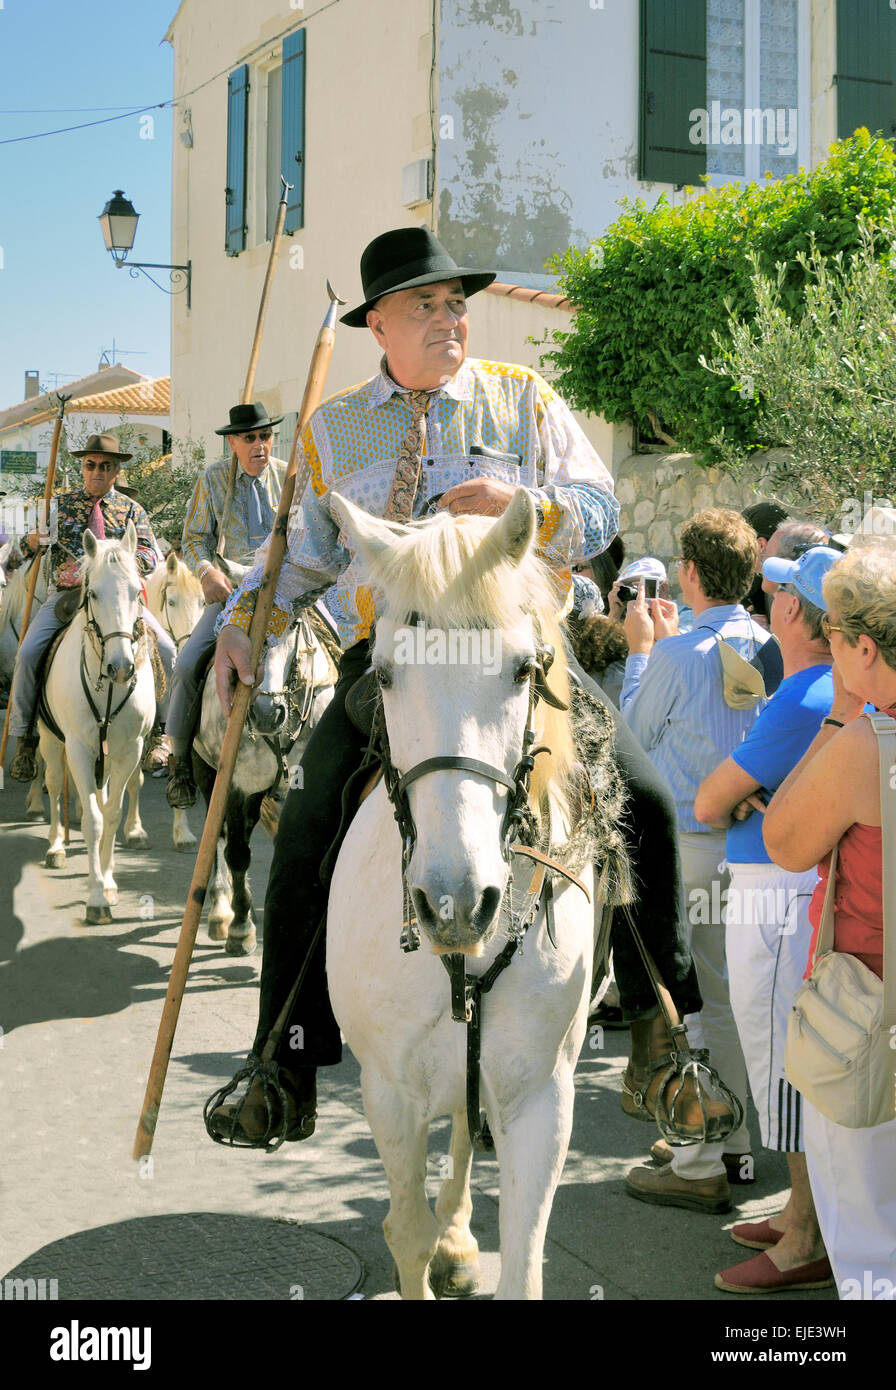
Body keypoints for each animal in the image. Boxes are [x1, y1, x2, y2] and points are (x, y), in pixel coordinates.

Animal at [38, 522, 155, 922]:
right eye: (92, 593)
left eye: (137, 592)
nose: (121, 667)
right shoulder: (79, 749)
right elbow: (93, 819)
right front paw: (95, 899)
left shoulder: (128, 751)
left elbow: (113, 814)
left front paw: (108, 883)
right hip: (50, 740)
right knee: (54, 783)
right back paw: (56, 847)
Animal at [193, 611, 336, 956]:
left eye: (294, 624)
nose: (266, 713)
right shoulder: (234, 785)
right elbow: (237, 853)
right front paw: (241, 929)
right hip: (206, 773)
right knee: (217, 836)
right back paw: (222, 912)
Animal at [325, 492, 597, 1301]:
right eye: (383, 676)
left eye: (523, 670)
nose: (453, 903)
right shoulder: (389, 1093)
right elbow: (404, 1235)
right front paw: (431, 1241)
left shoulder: (542, 1101)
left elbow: (525, 1261)